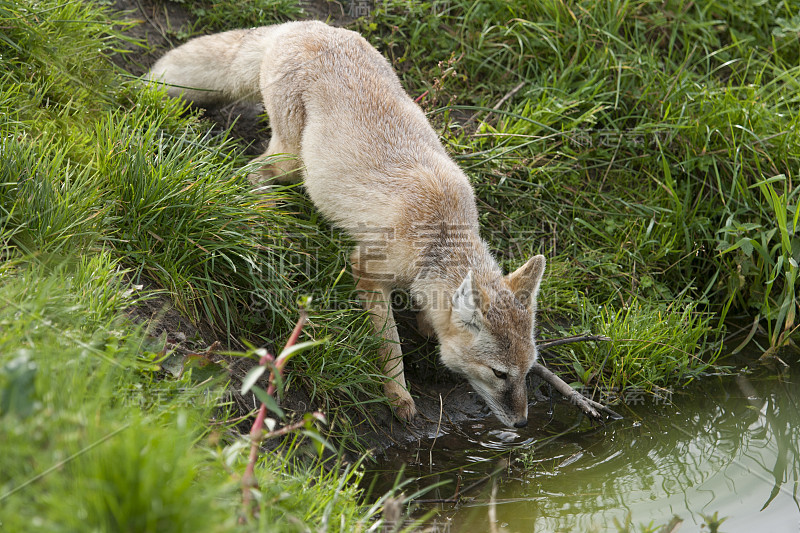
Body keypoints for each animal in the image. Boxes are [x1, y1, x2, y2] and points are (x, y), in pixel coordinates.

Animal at [147, 20, 548, 428]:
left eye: (527, 371)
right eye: (499, 374)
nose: (522, 423)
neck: (438, 236)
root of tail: (300, 26)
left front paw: (425, 325)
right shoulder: (366, 268)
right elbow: (390, 346)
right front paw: (398, 395)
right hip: (291, 161)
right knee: (251, 172)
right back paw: (268, 213)